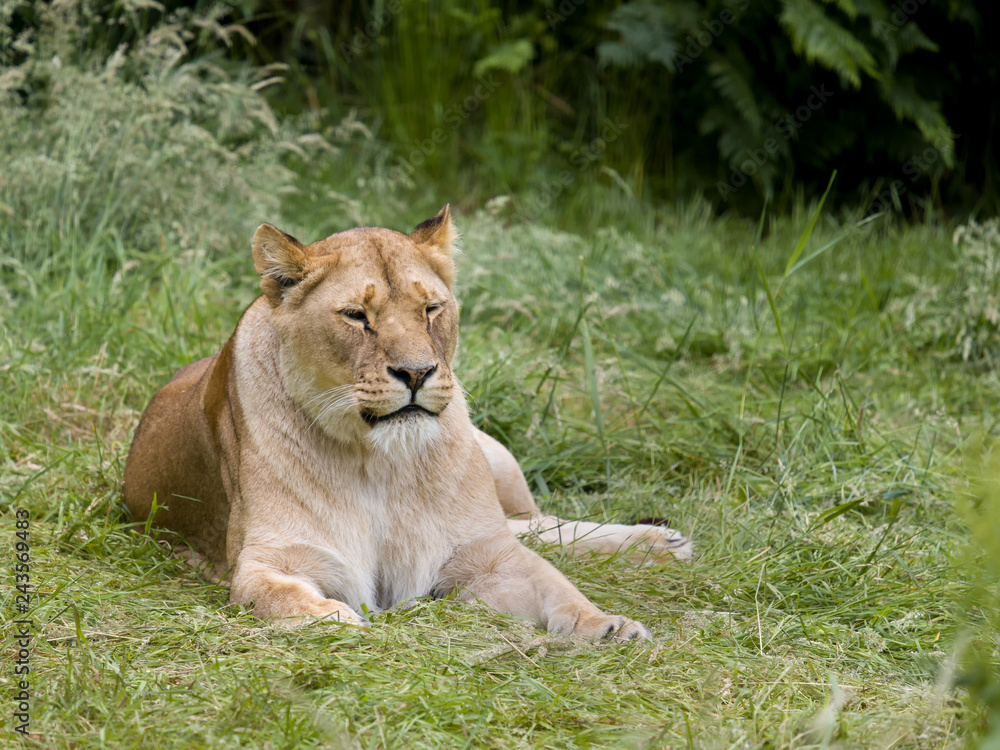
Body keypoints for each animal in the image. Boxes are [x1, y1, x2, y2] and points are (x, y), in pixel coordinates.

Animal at [123, 206, 691, 641]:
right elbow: (286, 599)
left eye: (431, 309)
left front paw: (608, 627)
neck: (381, 461)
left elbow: (558, 587)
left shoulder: (485, 554)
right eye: (356, 316)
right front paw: (340, 620)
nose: (417, 372)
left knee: (533, 523)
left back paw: (660, 542)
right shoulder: (269, 560)